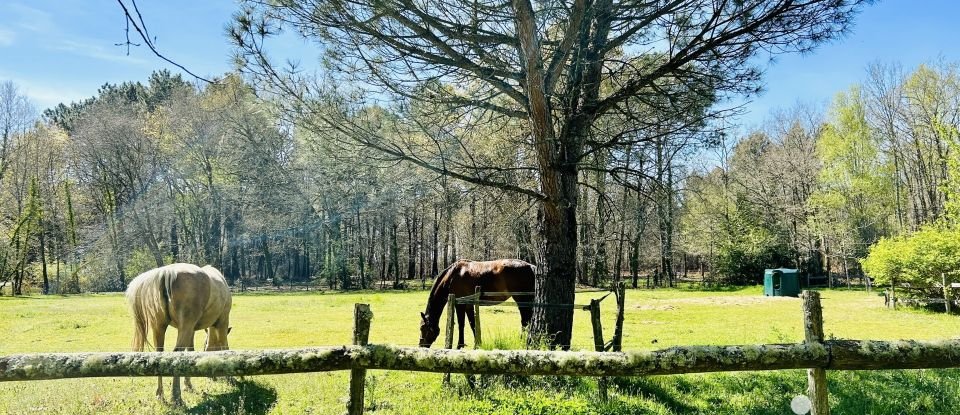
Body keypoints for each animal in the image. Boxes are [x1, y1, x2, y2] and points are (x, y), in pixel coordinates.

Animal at [124, 264, 232, 406]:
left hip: (161, 327)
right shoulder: (222, 323)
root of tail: (166, 272)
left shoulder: (193, 330)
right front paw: (230, 378)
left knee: (160, 354)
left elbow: (191, 352)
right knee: (176, 354)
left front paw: (189, 384)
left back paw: (160, 394)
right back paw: (176, 397)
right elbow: (225, 347)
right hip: (185, 328)